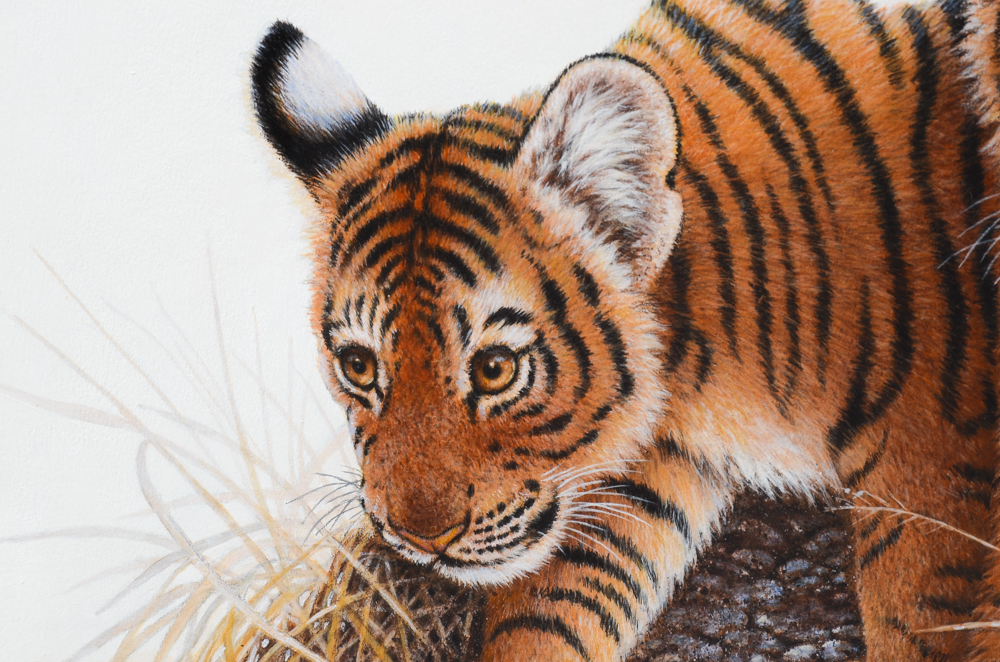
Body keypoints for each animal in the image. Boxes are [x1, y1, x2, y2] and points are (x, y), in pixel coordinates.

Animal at [249, 0, 1000, 660]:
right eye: (359, 366)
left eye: (495, 369)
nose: (417, 538)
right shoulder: (635, 473)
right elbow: (552, 608)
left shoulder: (933, 470)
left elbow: (917, 623)